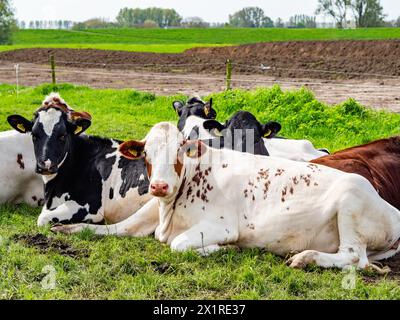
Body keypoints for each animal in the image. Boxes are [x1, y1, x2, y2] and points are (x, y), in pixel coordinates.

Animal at [53, 121, 400, 272]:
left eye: (180, 151)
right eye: (147, 154)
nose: (159, 187)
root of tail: (392, 210)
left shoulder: (221, 225)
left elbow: (179, 245)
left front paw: (224, 249)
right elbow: (108, 229)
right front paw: (65, 228)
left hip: (351, 200)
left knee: (353, 256)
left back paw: (305, 257)